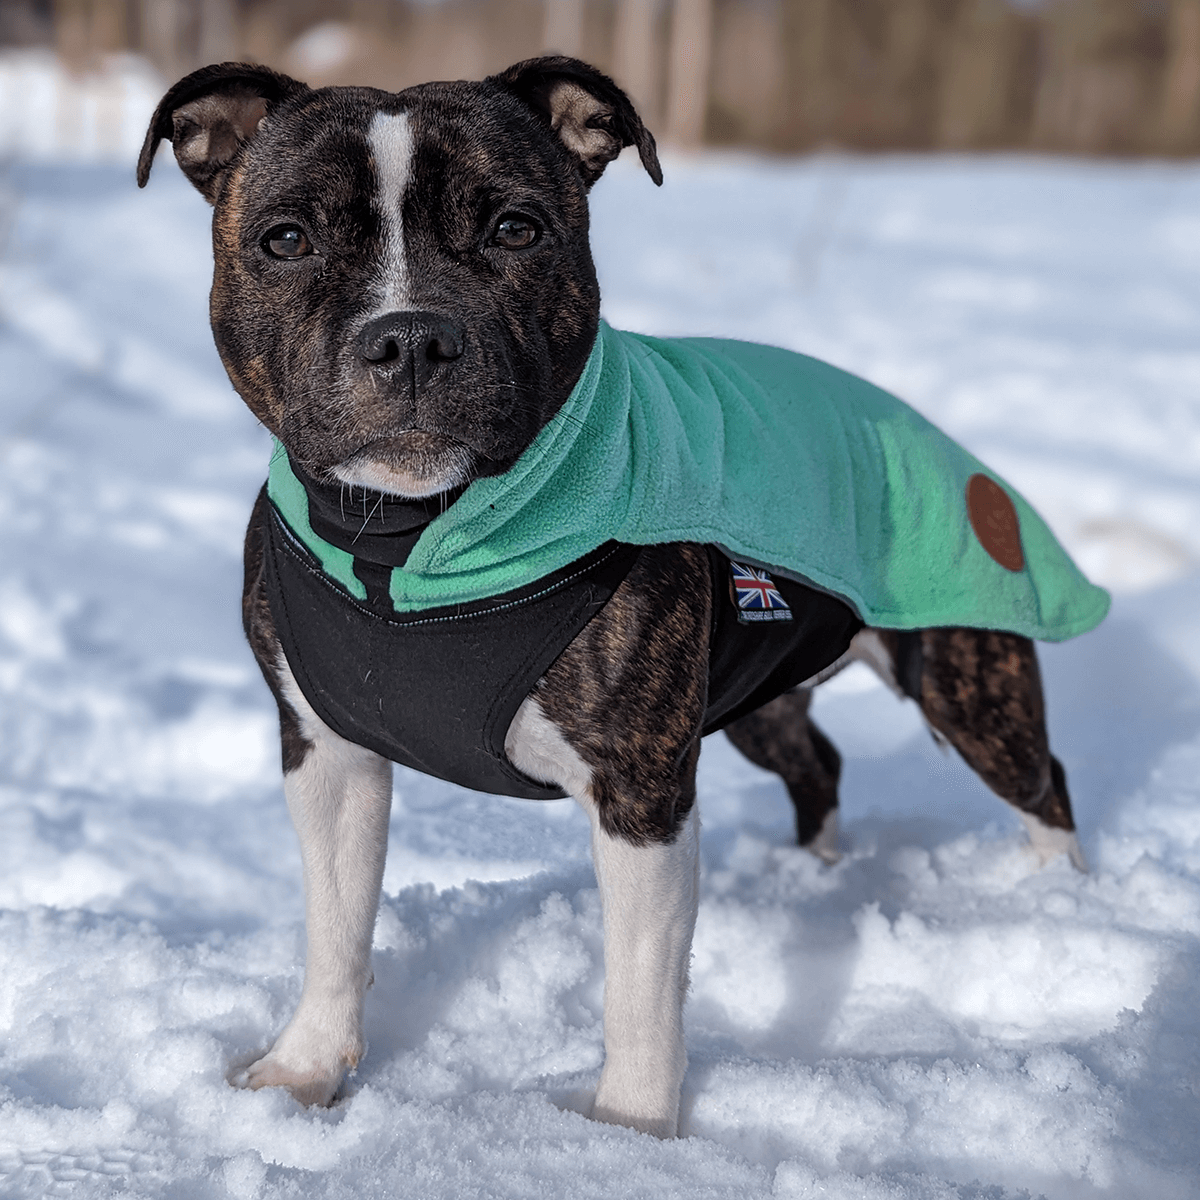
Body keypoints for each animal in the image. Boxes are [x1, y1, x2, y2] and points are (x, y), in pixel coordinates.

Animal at [136, 56, 1099, 1137]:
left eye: (516, 228)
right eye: (286, 240)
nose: (411, 338)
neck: (407, 541)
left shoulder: (640, 790)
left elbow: (639, 988)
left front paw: (629, 1136)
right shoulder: (328, 754)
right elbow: (335, 925)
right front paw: (303, 1071)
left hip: (967, 681)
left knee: (1043, 783)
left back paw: (1056, 902)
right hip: (758, 700)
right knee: (821, 764)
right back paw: (810, 879)